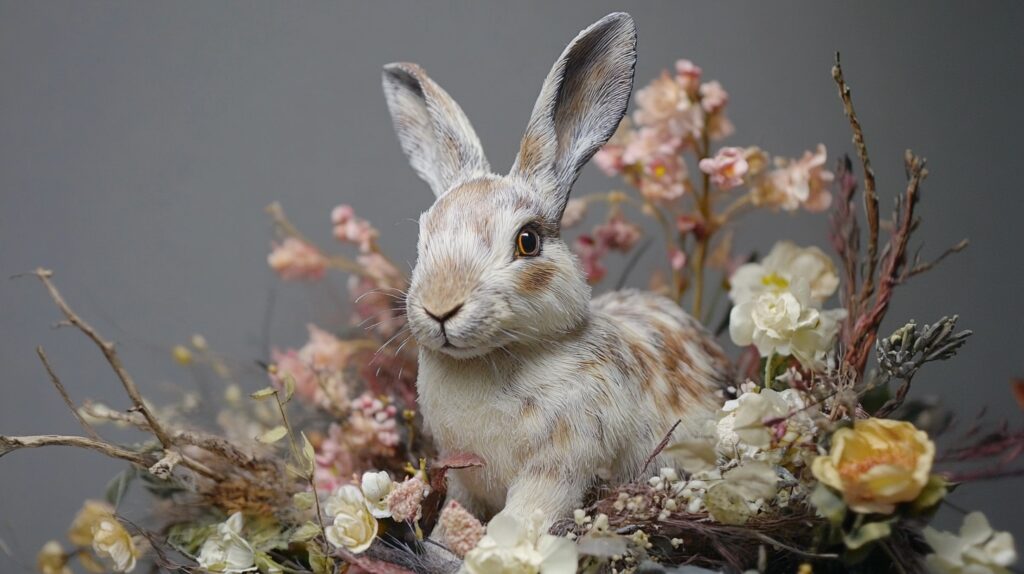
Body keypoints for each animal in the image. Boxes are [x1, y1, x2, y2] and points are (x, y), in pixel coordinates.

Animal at [381, 12, 733, 529]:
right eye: (424, 235)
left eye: (527, 240)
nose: (440, 308)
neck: (497, 358)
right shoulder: (463, 477)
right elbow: (454, 513)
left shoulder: (560, 464)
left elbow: (524, 513)